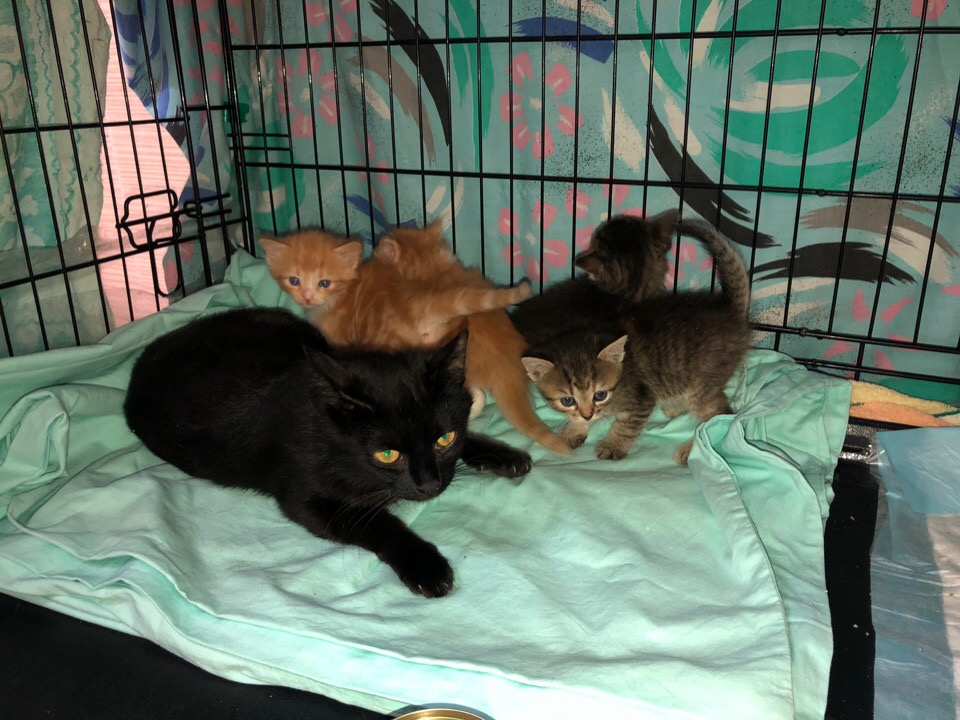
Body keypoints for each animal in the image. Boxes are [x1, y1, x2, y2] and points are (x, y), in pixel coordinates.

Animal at [123, 308, 532, 598]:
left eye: (444, 439)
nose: (430, 485)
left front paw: (502, 454)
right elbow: (379, 523)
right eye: (387, 455)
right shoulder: (305, 498)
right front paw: (425, 566)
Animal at [513, 212, 751, 465]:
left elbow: (627, 424)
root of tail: (730, 313)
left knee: (721, 416)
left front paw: (613, 445)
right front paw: (572, 431)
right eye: (567, 400)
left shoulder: (640, 397)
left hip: (703, 382)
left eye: (600, 394)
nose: (587, 415)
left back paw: (691, 450)